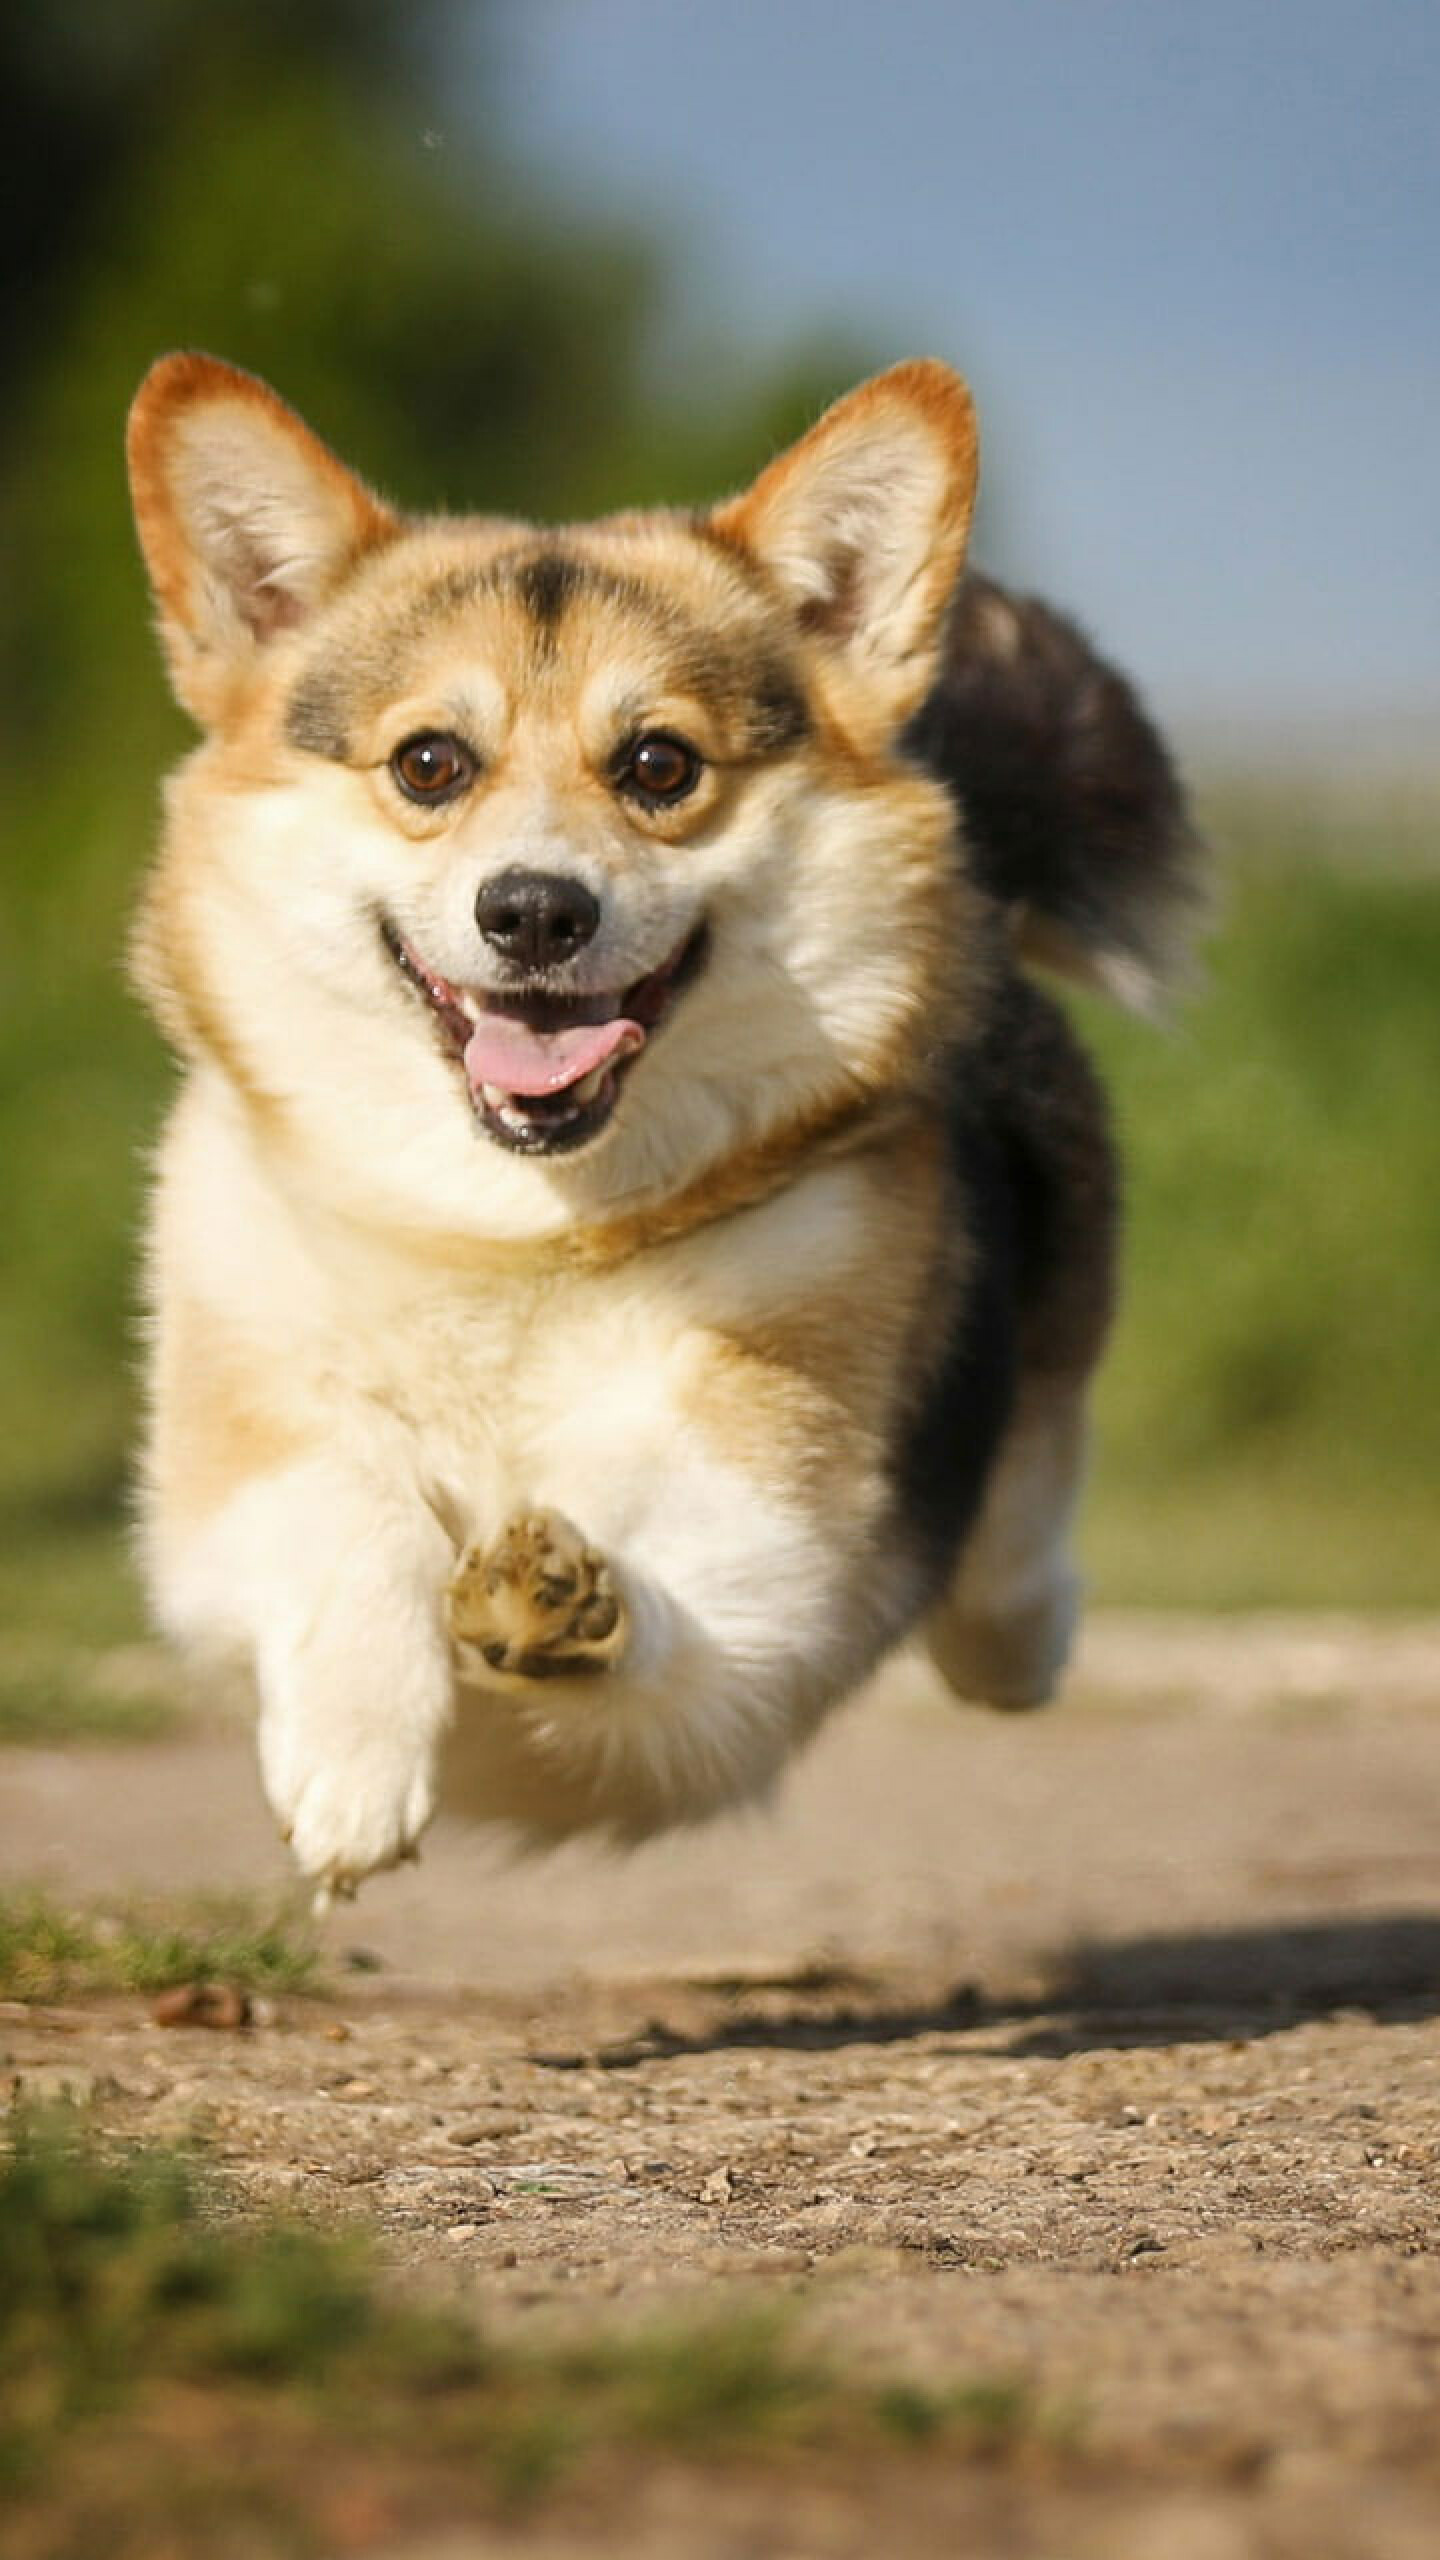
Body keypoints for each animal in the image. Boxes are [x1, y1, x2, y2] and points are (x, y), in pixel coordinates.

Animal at [128, 345, 1194, 1904]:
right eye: (430, 763)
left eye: (659, 767)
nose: (534, 912)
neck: (513, 1235)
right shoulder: (234, 1454)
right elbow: (349, 1501)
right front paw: (356, 1760)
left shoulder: (772, 1536)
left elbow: (673, 1543)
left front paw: (562, 1597)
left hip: (1031, 1378)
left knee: (1010, 1560)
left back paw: (1021, 1626)